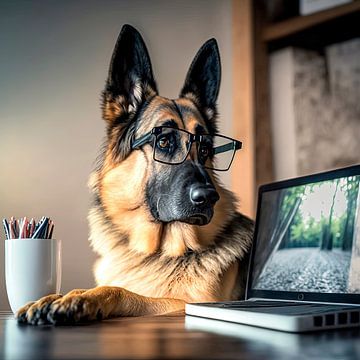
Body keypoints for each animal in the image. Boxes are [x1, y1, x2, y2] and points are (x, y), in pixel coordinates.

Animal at [16, 23, 253, 324]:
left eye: (206, 148)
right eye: (163, 141)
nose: (209, 198)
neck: (157, 253)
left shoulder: (189, 304)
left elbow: (120, 290)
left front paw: (85, 299)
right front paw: (56, 296)